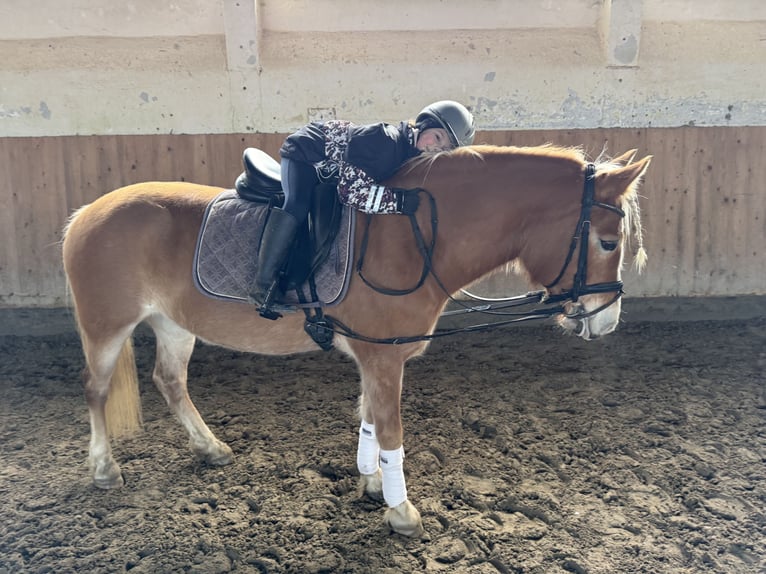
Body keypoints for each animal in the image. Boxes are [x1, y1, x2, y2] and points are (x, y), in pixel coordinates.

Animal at [61, 145, 656, 540]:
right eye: (608, 241)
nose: (605, 320)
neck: (417, 236)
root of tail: (86, 214)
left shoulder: (376, 354)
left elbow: (369, 419)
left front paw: (372, 486)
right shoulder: (384, 355)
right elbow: (391, 430)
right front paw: (401, 511)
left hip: (174, 323)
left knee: (169, 380)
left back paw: (209, 448)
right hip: (107, 326)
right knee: (95, 389)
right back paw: (104, 469)